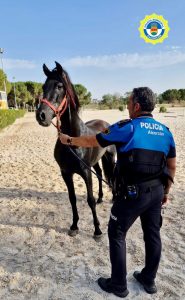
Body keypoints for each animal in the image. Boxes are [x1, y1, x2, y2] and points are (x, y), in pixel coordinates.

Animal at [35, 62, 115, 238]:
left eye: (59, 86)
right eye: (43, 86)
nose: (41, 116)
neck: (72, 139)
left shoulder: (85, 172)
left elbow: (89, 200)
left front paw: (97, 230)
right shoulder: (66, 173)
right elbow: (72, 199)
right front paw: (74, 226)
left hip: (110, 158)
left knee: (111, 176)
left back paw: (113, 198)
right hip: (96, 162)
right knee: (100, 174)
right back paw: (101, 198)